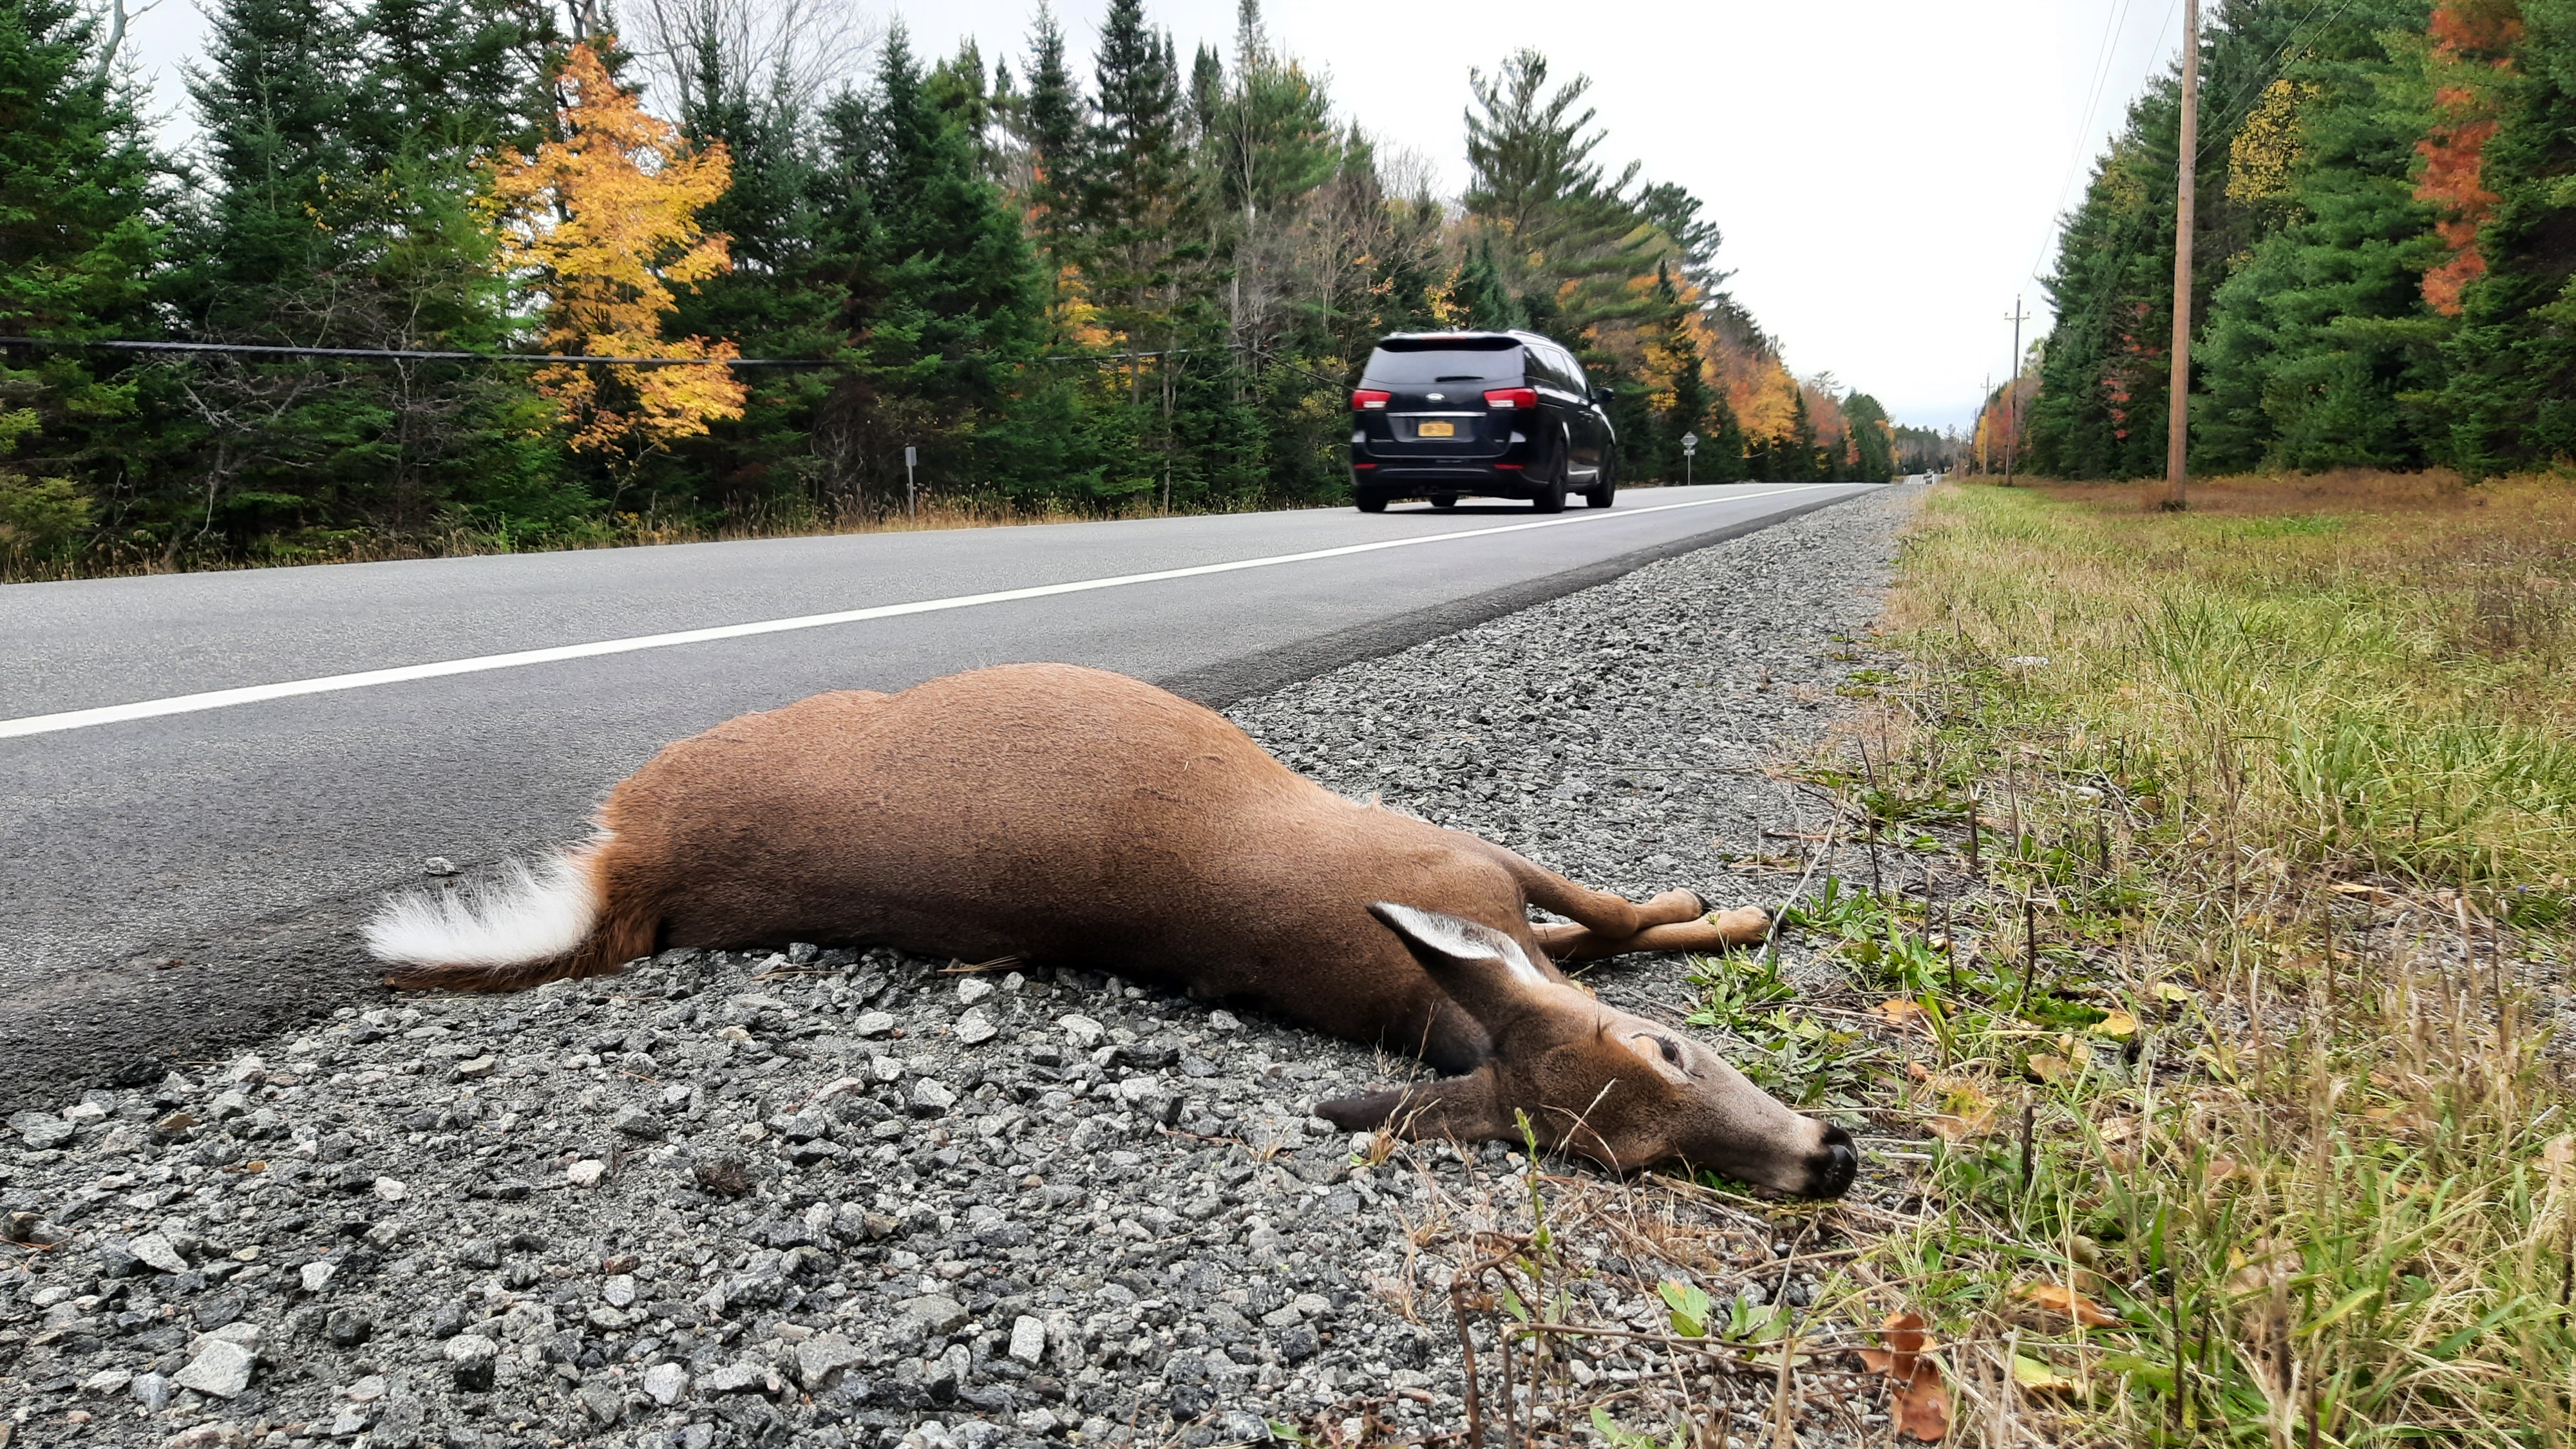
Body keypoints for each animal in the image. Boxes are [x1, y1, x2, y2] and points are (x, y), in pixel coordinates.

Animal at [368, 659, 1855, 1191]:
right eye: (1630, 1157)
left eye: (1669, 1072)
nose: (1827, 1162)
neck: (1411, 988)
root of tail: (633, 863)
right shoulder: (1457, 851)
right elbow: (1616, 914)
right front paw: (1725, 908)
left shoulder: (1476, 882)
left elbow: (1596, 930)